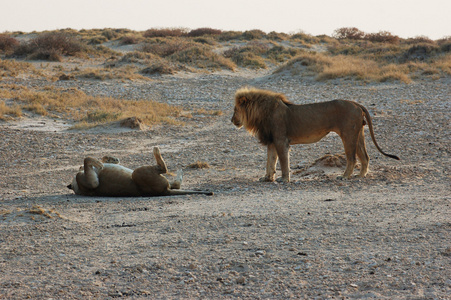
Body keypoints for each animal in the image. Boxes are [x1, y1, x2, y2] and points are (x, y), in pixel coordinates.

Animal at [68, 147, 215, 197]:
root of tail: (165, 191)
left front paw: (110, 159)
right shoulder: (91, 184)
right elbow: (86, 159)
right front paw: (99, 163)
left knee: (175, 184)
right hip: (137, 173)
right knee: (164, 170)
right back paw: (156, 150)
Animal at [231, 85, 400, 182]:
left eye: (235, 110)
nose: (231, 120)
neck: (261, 113)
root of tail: (356, 103)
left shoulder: (280, 140)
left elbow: (283, 162)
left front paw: (284, 179)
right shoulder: (272, 141)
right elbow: (270, 161)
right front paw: (267, 178)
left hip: (348, 134)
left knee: (352, 158)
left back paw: (344, 176)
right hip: (358, 134)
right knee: (365, 156)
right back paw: (360, 176)